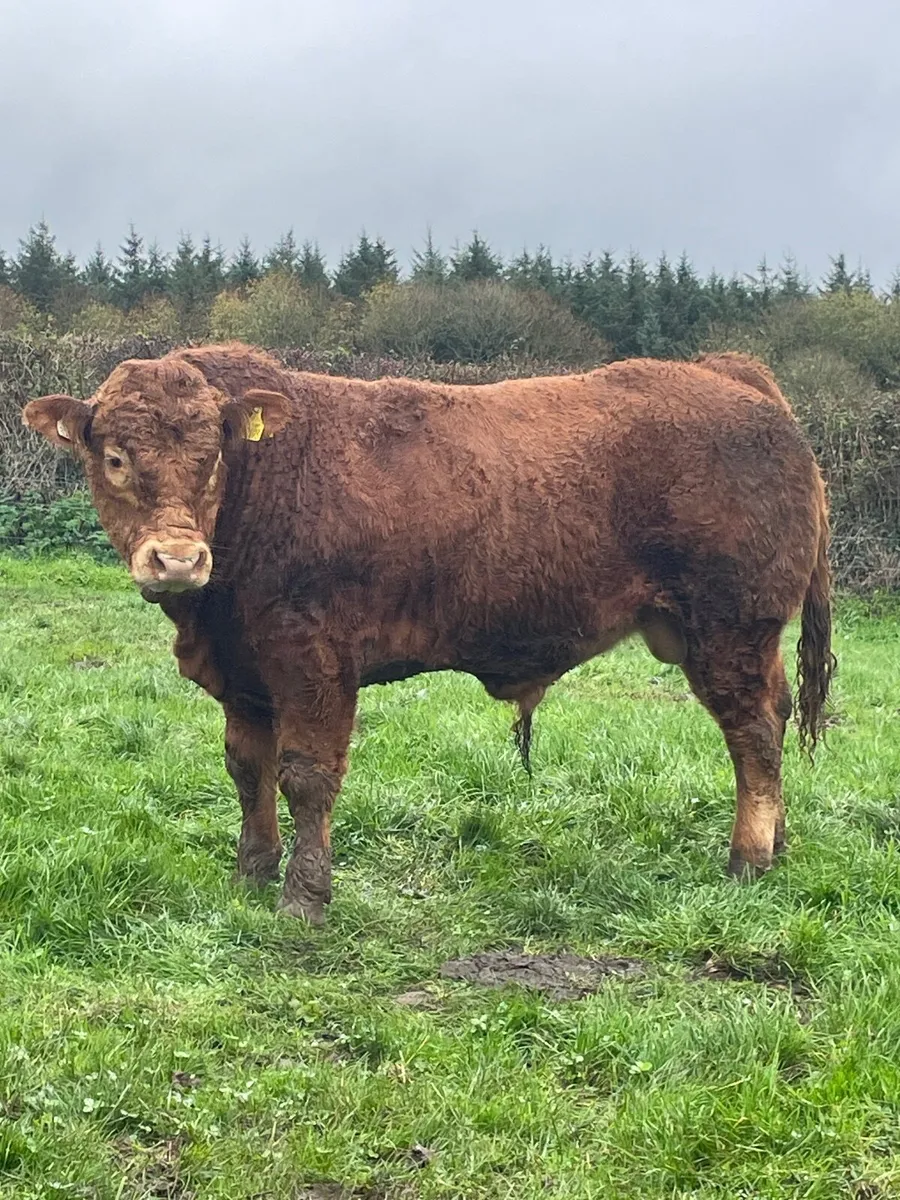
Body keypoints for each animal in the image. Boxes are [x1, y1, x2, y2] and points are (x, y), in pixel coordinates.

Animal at [23, 343, 834, 925]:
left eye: (214, 455)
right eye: (114, 457)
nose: (178, 559)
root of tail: (726, 373)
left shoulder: (313, 659)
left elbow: (306, 776)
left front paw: (303, 899)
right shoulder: (244, 673)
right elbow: (248, 770)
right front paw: (250, 875)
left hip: (730, 627)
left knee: (755, 732)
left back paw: (749, 858)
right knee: (773, 716)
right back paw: (780, 842)